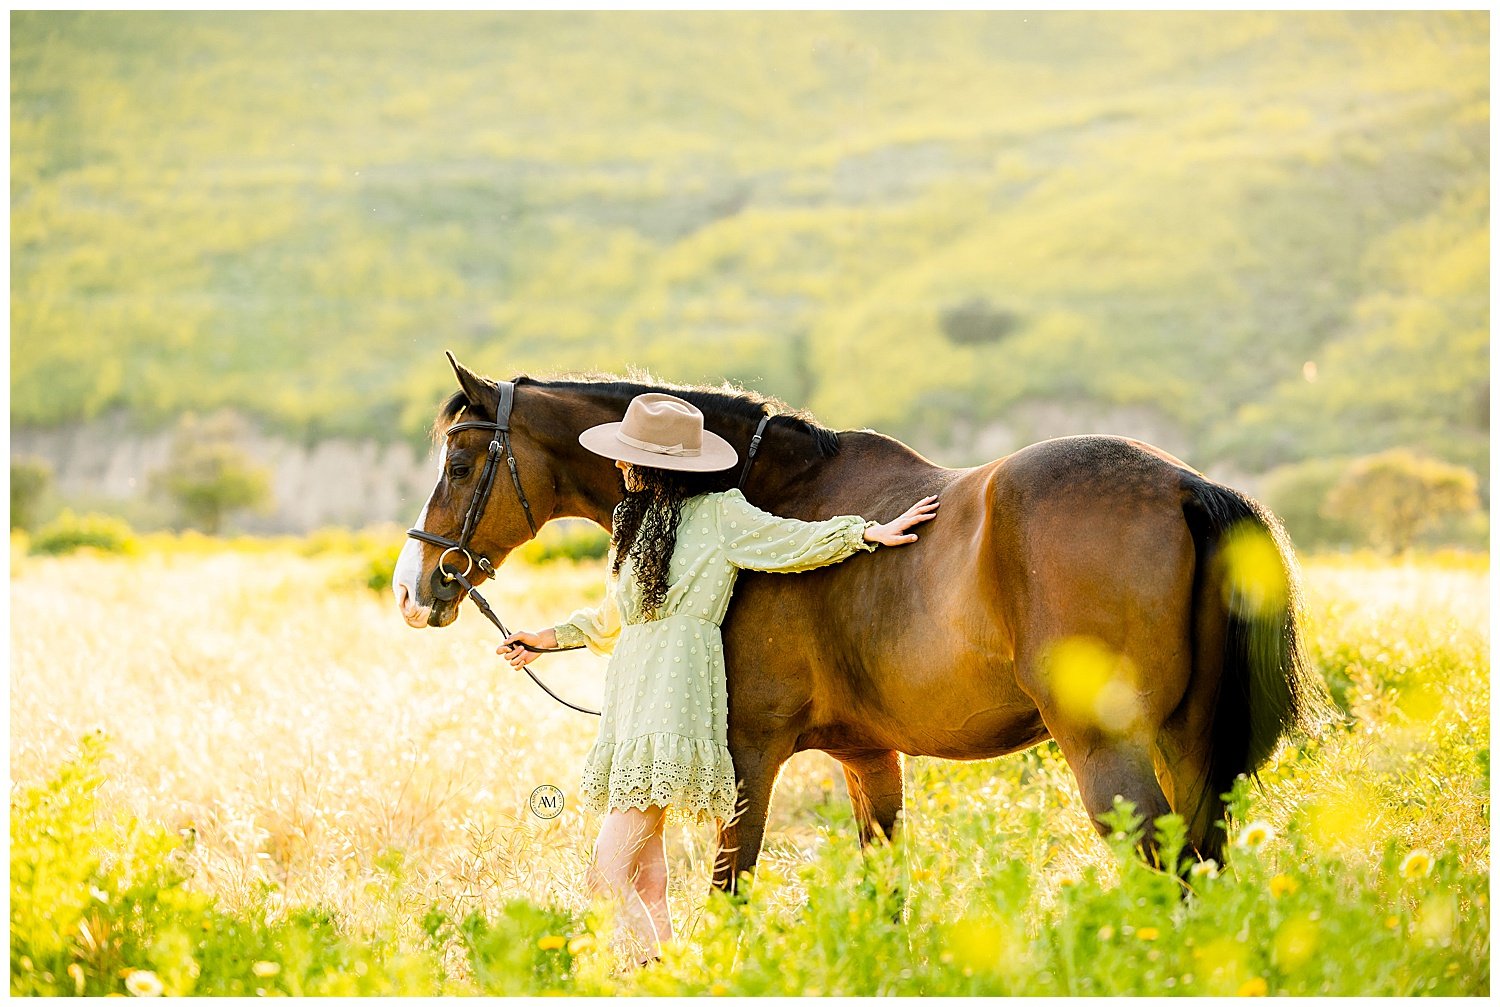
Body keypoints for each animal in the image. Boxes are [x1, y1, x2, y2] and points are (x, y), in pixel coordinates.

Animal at [393, 358, 1332, 894]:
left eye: (462, 461)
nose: (415, 587)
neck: (767, 488)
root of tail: (1185, 486)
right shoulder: (868, 759)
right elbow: (886, 894)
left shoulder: (751, 757)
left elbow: (728, 891)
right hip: (1189, 750)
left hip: (1111, 754)